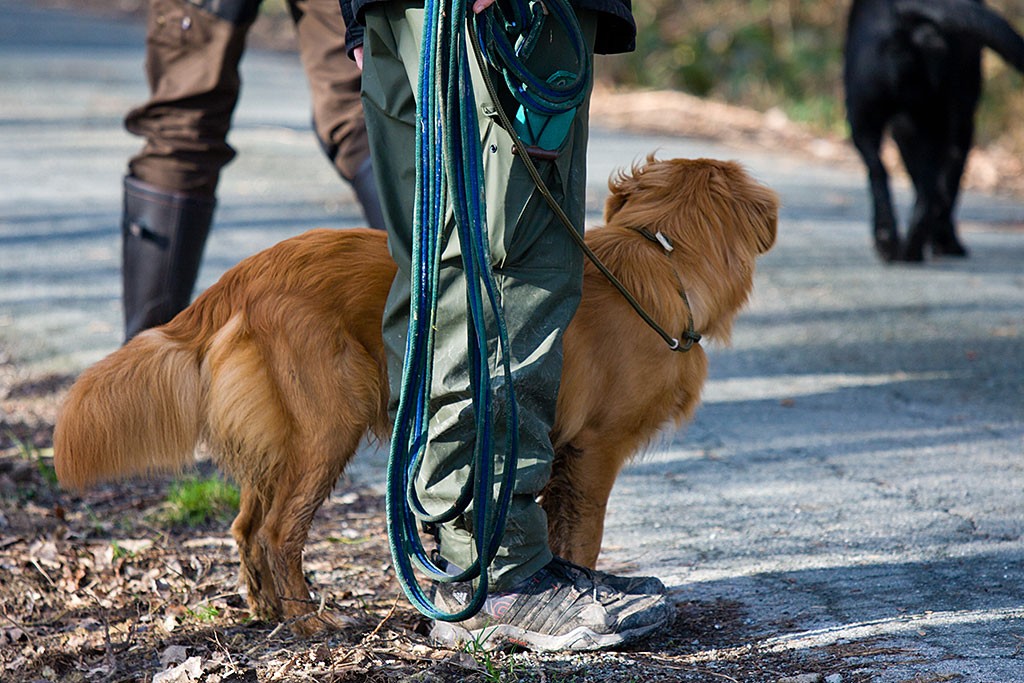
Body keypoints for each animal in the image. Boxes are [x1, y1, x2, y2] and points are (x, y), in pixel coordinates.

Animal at [54, 158, 774, 634]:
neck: (662, 261)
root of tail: (240, 277)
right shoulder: (594, 451)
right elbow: (583, 537)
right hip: (329, 426)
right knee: (281, 530)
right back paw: (309, 621)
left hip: (277, 439)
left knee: (246, 525)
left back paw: (265, 611)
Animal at [839, 0, 1024, 262]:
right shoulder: (958, 121)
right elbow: (945, 185)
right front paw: (944, 241)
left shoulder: (905, 126)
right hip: (929, 121)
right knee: (924, 184)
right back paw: (911, 247)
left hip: (867, 119)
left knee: (881, 174)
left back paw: (893, 244)